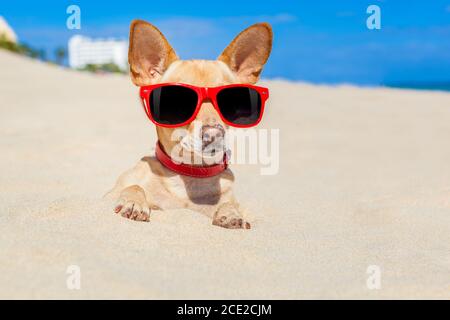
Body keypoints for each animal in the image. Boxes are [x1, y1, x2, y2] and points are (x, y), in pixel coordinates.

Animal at [107, 19, 272, 228]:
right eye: (175, 101)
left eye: (232, 101)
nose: (214, 134)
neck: (190, 172)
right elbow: (134, 186)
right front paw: (134, 202)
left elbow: (229, 204)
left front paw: (231, 213)